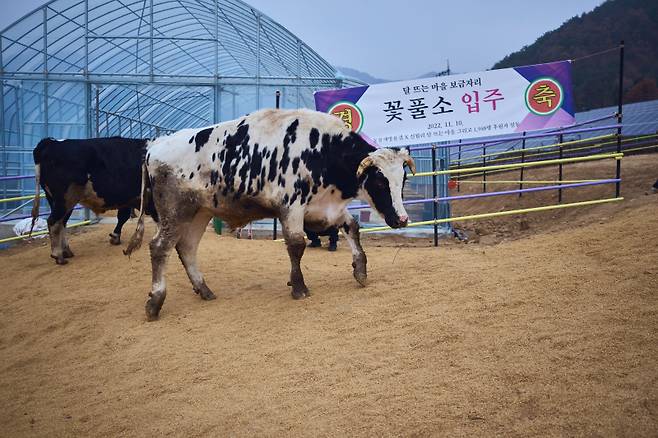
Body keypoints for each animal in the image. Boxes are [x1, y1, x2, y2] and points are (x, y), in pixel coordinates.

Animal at [125, 108, 412, 320]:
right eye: (380, 182)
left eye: (403, 180)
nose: (402, 219)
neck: (321, 149)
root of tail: (155, 145)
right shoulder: (292, 207)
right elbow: (296, 245)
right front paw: (299, 287)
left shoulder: (327, 207)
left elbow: (352, 228)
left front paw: (360, 270)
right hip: (174, 211)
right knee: (160, 247)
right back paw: (155, 301)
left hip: (199, 212)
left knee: (186, 248)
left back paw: (204, 289)